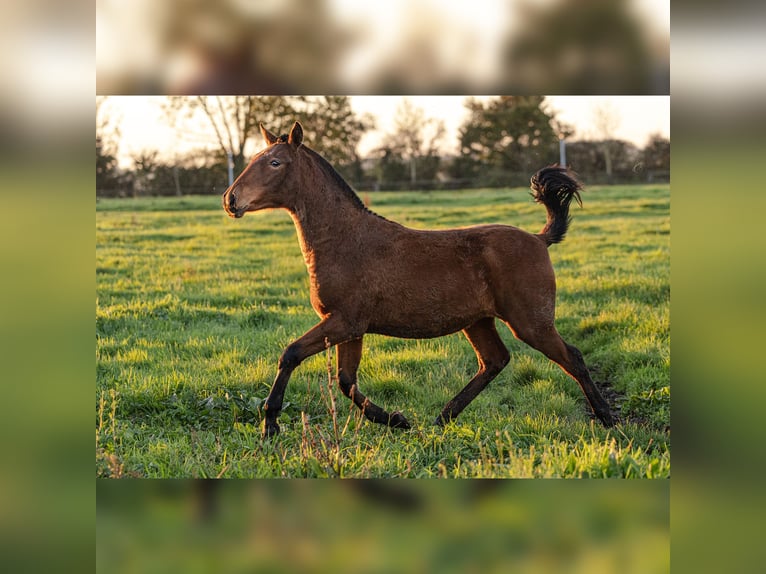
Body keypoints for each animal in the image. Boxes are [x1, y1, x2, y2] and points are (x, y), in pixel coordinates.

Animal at [222, 119, 616, 438]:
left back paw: (608, 419)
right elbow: (346, 381)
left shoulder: (344, 322)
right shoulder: (351, 328)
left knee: (571, 357)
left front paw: (270, 424)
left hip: (530, 323)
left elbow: (290, 354)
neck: (344, 240)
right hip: (478, 321)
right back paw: (443, 418)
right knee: (495, 360)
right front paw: (398, 420)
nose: (230, 199)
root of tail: (538, 239)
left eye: (274, 162)